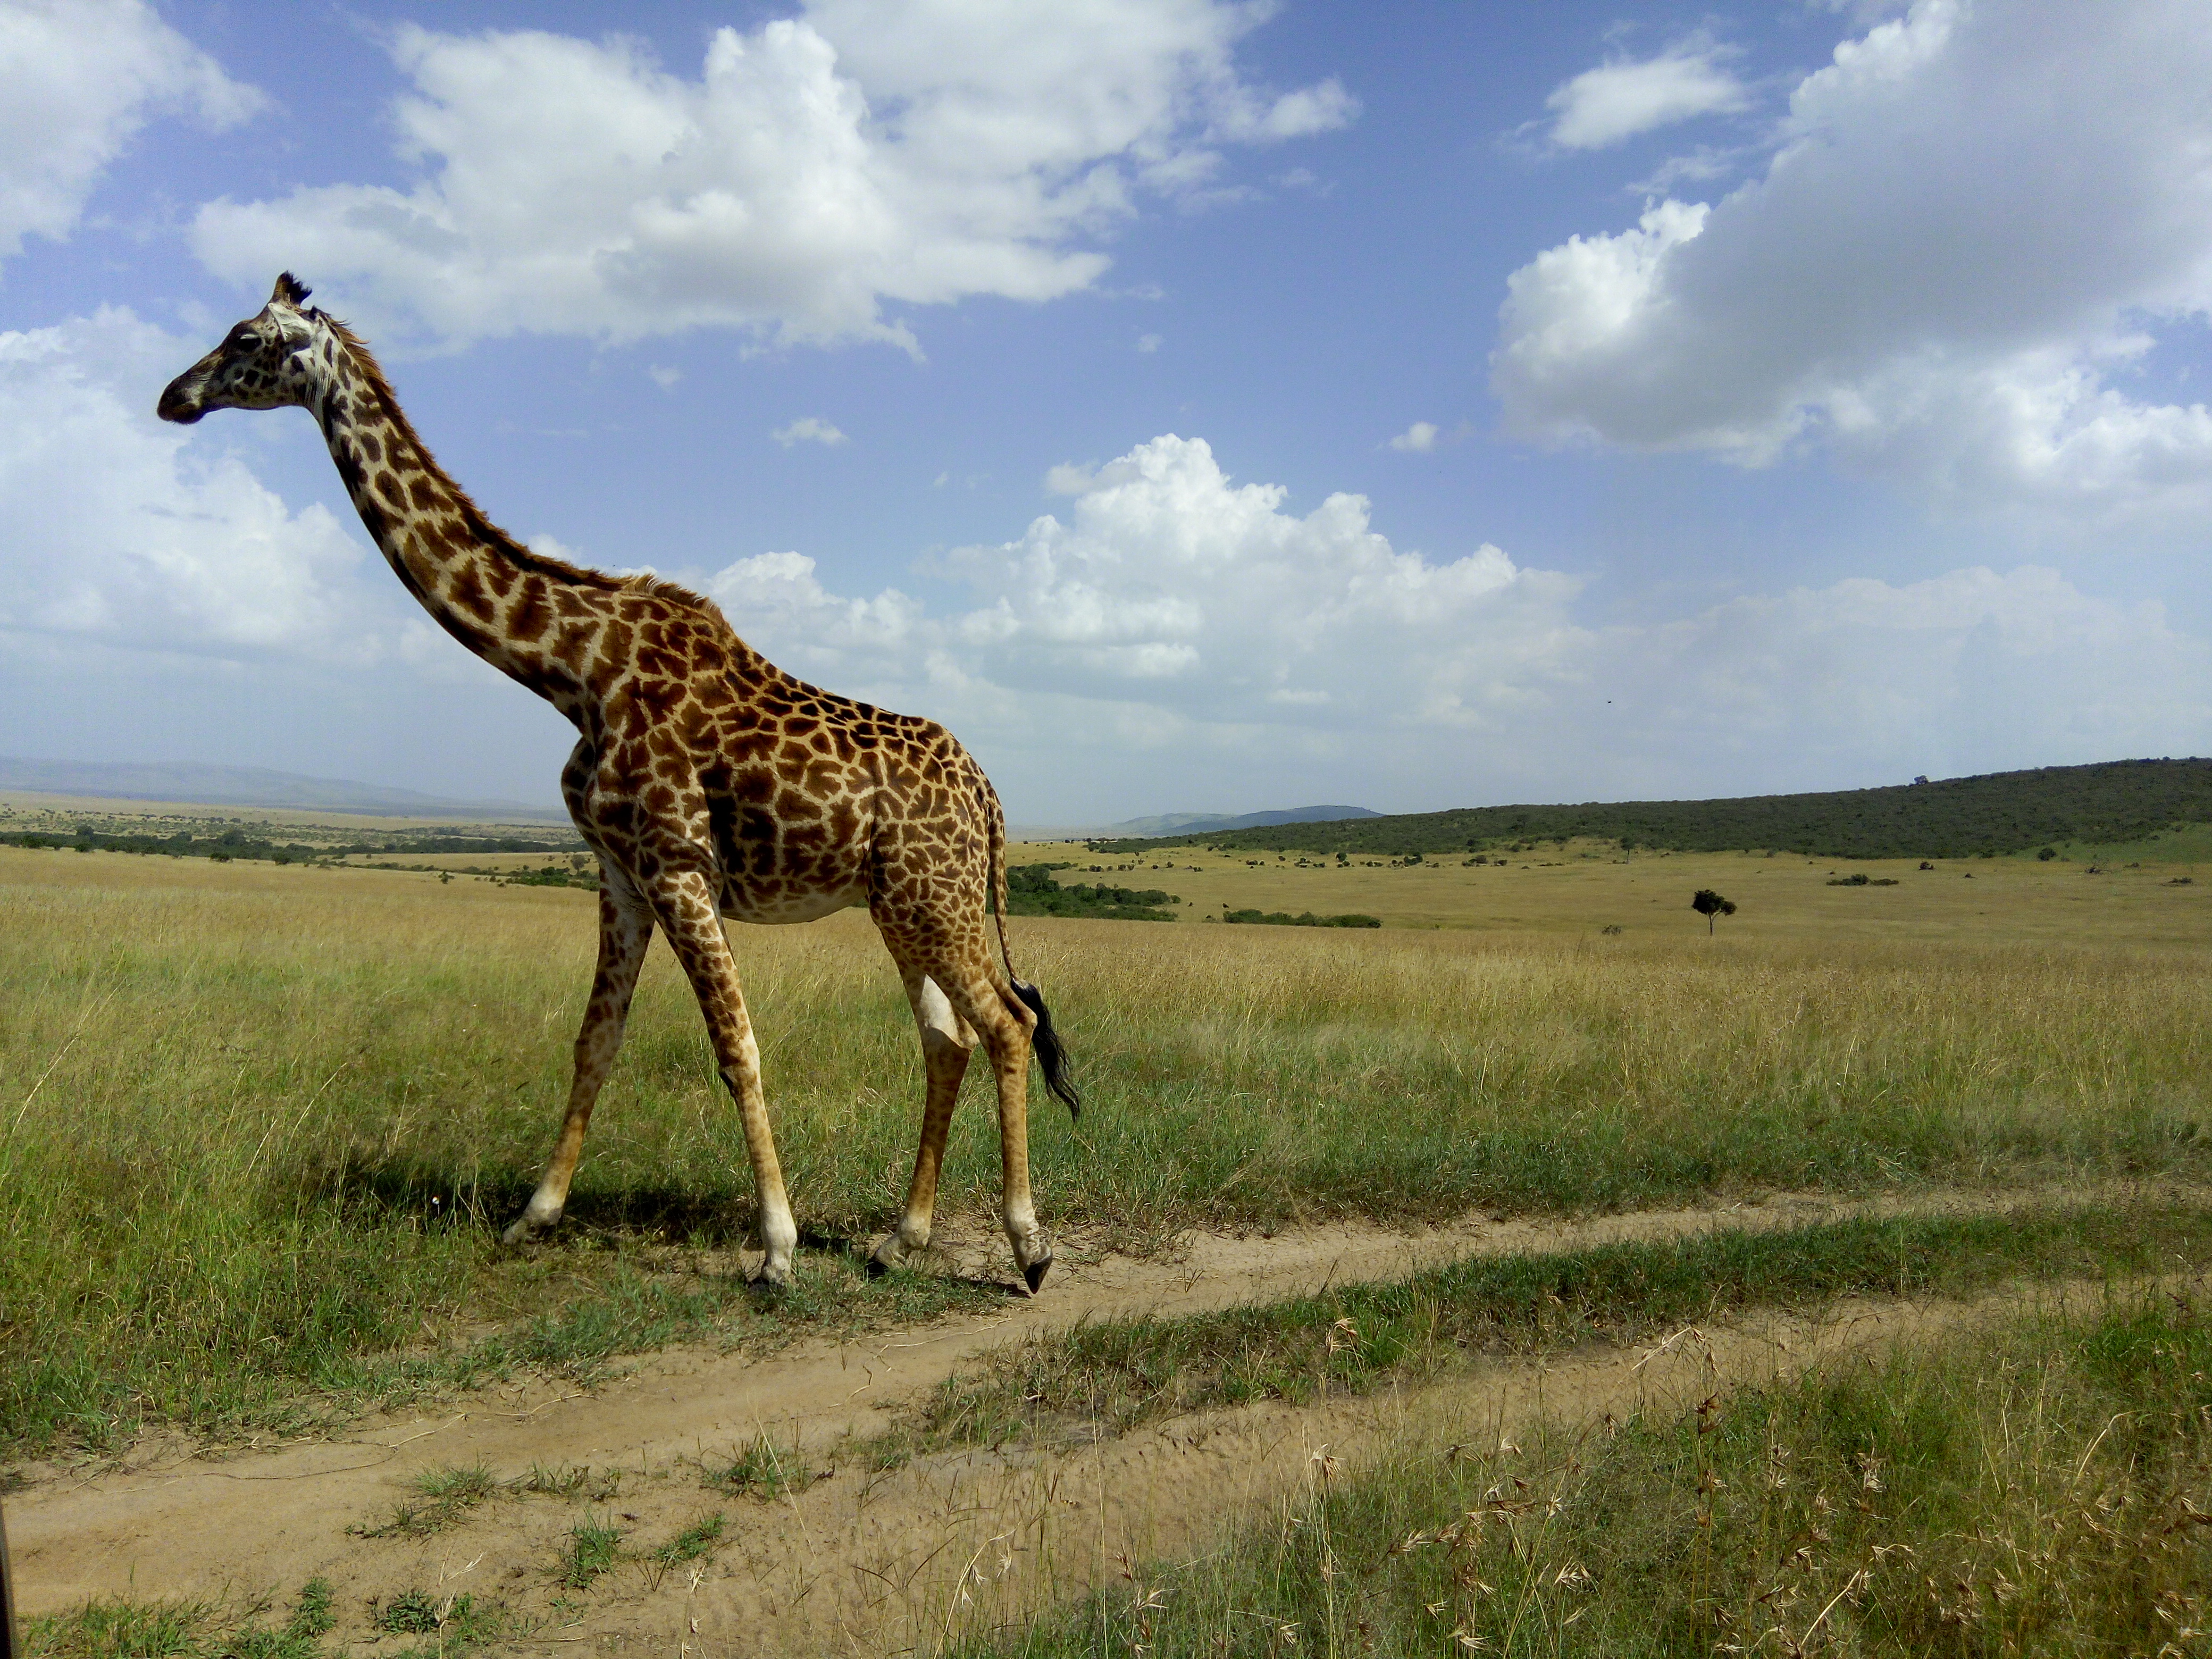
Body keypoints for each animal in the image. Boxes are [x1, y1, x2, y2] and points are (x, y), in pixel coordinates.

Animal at [158, 273, 1079, 1292]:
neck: (571, 671)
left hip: (937, 900)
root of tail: (991, 799)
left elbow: (738, 1048)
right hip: (902, 905)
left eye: (245, 338)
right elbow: (595, 1039)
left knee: (1006, 1025)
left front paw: (777, 1248)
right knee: (947, 1039)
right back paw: (900, 1238)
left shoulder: (678, 862)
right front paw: (534, 1215)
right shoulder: (620, 872)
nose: (174, 397)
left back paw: (1030, 1246)